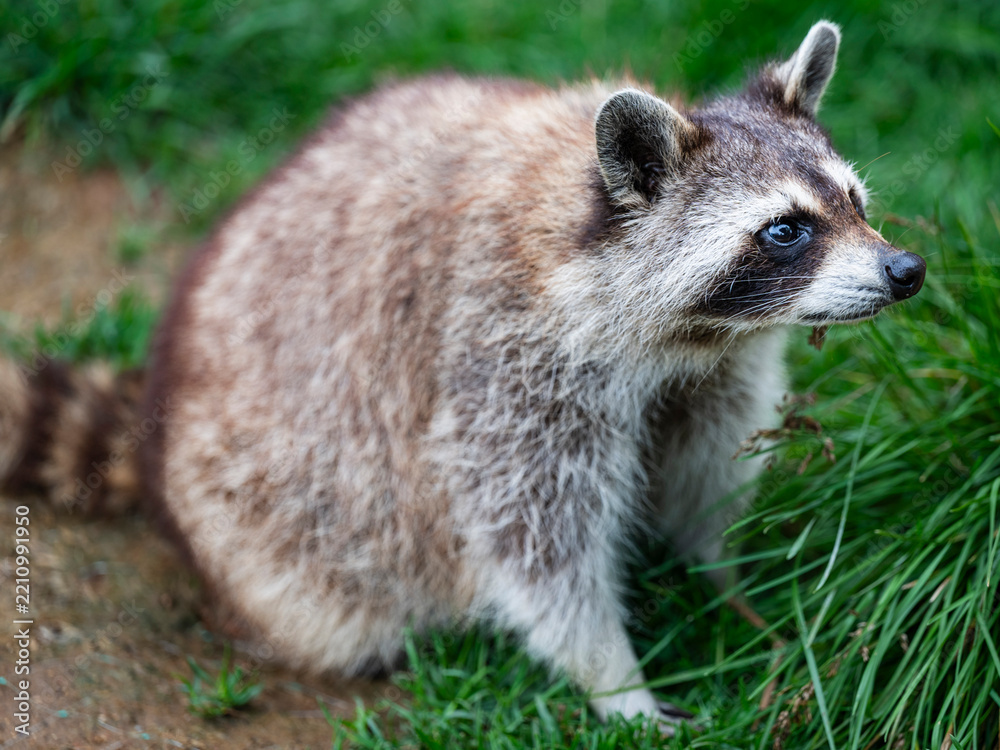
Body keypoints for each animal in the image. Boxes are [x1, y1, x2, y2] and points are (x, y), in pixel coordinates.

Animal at [0, 21, 924, 725]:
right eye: (785, 230)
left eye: (854, 202)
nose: (907, 270)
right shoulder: (505, 352)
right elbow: (532, 533)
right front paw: (614, 680)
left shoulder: (720, 369)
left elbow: (702, 465)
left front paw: (721, 579)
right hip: (256, 520)